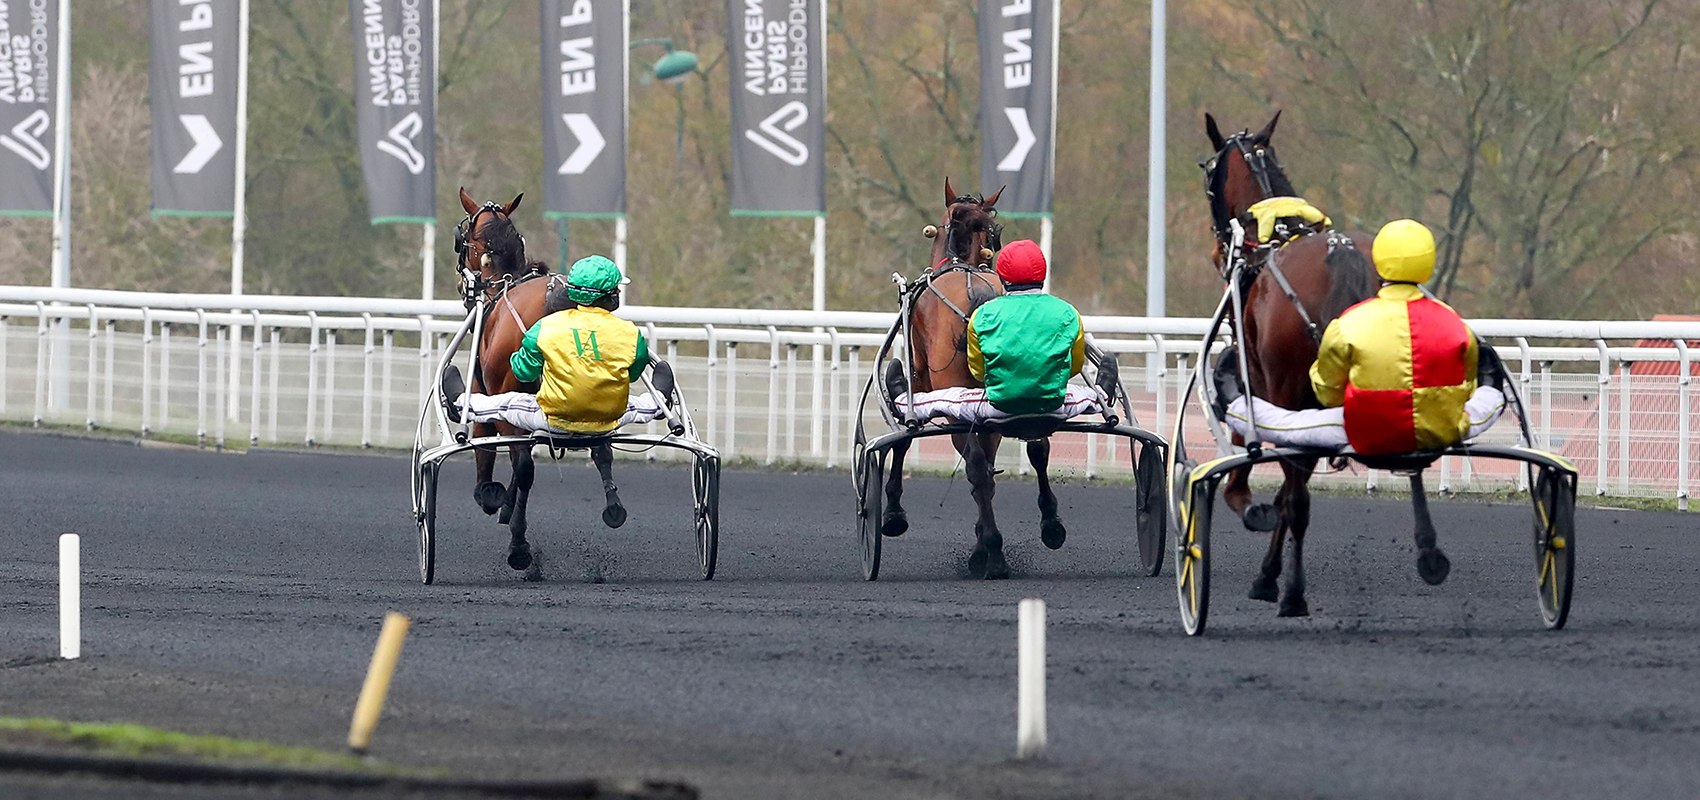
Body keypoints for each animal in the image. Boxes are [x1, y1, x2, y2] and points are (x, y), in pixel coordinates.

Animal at [455, 188, 629, 577]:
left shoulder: (487, 394)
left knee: (523, 464)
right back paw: (613, 505)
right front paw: (506, 505)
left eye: (462, 240)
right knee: (602, 451)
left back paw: (519, 546)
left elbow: (489, 445)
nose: (461, 284)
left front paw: (490, 496)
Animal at [877, 180, 1074, 580]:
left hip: (955, 401)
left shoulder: (921, 381)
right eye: (995, 234)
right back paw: (1048, 526)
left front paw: (893, 515)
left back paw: (993, 553)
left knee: (975, 466)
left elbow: (906, 438)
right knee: (1037, 447)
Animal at [1203, 111, 1387, 614]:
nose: (1218, 250)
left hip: (1290, 391)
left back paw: (1289, 591)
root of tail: (1340, 251)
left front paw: (1246, 503)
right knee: (1297, 488)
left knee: (1297, 491)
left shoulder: (1261, 378)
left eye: (1208, 174)